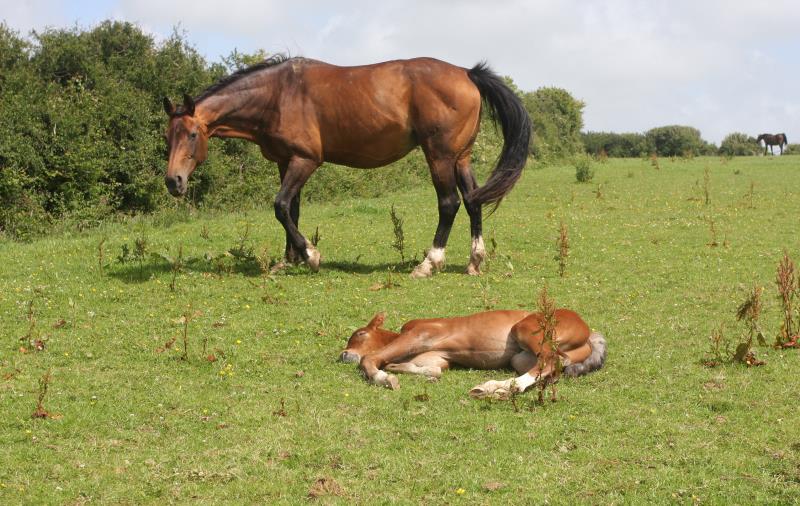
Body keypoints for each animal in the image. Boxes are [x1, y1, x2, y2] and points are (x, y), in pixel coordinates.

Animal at [162, 56, 532, 276]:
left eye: (192, 134)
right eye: (168, 136)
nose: (173, 182)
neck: (278, 95)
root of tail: (467, 74)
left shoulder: (305, 160)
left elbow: (280, 206)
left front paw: (311, 256)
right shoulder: (286, 161)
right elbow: (291, 210)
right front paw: (289, 259)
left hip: (439, 155)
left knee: (450, 203)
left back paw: (429, 263)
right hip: (461, 157)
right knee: (473, 201)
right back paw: (474, 261)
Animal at [338, 308, 608, 400]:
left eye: (360, 334)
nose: (343, 355)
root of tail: (587, 332)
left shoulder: (419, 334)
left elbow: (370, 358)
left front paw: (383, 377)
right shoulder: (437, 359)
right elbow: (433, 370)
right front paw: (399, 370)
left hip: (525, 330)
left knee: (549, 360)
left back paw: (497, 389)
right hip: (520, 358)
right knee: (551, 369)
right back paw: (493, 388)